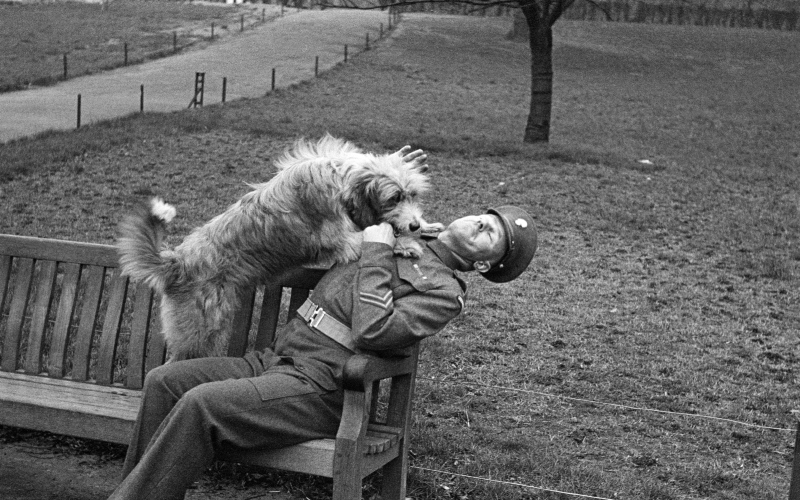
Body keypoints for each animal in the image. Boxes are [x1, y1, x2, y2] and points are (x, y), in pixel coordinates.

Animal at [120, 135, 438, 362]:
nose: (413, 225)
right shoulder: (341, 239)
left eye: (412, 195)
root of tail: (177, 262)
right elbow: (376, 235)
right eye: (394, 198)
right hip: (202, 329)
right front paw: (407, 243)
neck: (342, 178)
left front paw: (426, 226)